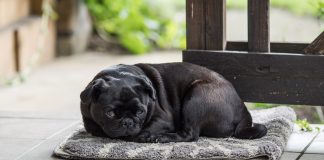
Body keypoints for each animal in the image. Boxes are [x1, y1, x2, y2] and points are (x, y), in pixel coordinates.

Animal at [79, 62, 268, 142]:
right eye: (110, 113)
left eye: (140, 112)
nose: (127, 122)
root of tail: (244, 110)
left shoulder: (163, 119)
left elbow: (144, 129)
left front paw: (145, 135)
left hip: (196, 96)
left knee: (190, 135)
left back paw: (161, 137)